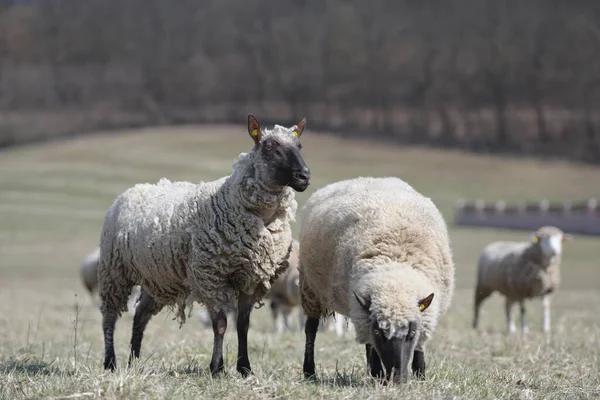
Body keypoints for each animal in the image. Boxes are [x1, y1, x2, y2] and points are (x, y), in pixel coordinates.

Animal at [96, 115, 312, 376]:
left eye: (299, 145)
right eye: (269, 147)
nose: (304, 176)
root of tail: (134, 190)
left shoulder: (251, 277)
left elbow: (243, 325)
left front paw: (244, 368)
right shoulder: (212, 275)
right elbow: (220, 324)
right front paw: (217, 367)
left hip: (159, 279)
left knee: (140, 316)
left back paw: (134, 361)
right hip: (114, 270)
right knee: (109, 317)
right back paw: (110, 362)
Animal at [300, 177, 454, 384]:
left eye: (412, 332)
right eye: (378, 332)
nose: (397, 378)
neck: (396, 269)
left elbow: (420, 343)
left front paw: (420, 374)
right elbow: (372, 345)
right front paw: (379, 374)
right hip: (311, 289)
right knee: (311, 328)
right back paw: (310, 371)